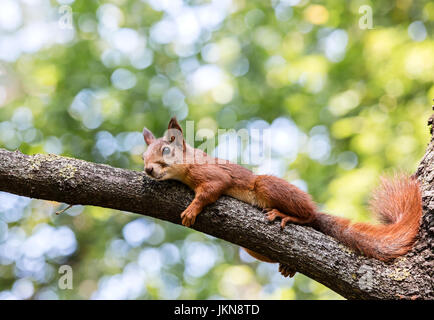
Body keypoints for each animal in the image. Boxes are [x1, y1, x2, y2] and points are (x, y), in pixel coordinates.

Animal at [141, 117, 422, 278]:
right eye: (143, 156)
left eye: (165, 151)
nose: (148, 170)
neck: (187, 166)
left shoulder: (214, 175)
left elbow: (211, 190)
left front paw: (191, 210)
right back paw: (288, 266)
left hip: (267, 186)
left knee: (308, 216)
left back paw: (290, 216)